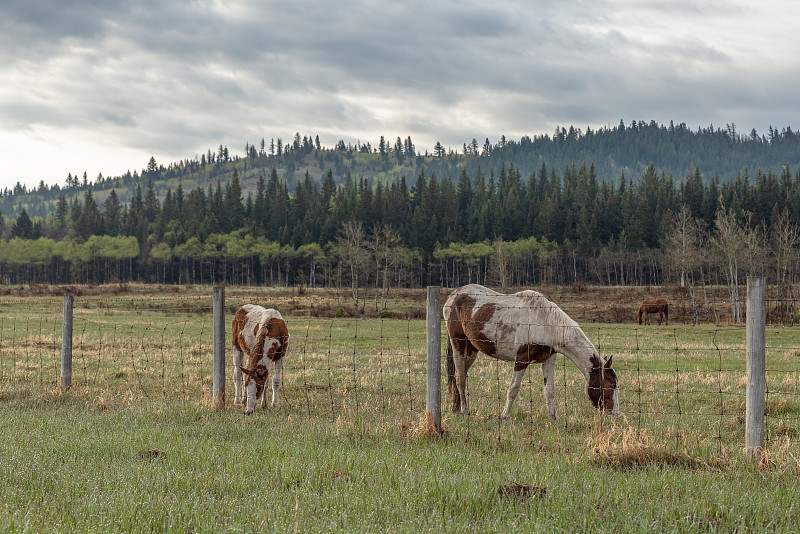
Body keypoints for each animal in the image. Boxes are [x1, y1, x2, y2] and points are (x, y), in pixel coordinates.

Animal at [444, 284, 620, 422]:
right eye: (612, 384)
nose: (615, 414)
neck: (546, 323)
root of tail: (453, 296)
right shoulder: (522, 359)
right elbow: (513, 388)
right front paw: (505, 416)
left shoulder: (549, 359)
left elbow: (549, 390)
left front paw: (553, 418)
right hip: (458, 344)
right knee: (459, 377)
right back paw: (465, 410)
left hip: (471, 351)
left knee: (460, 375)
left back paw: (455, 407)